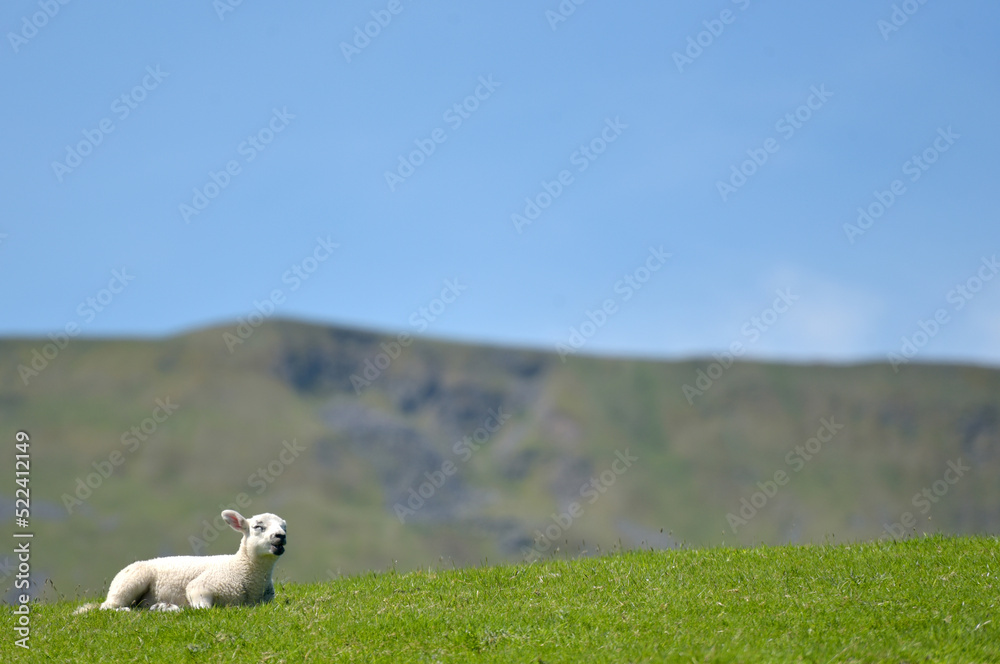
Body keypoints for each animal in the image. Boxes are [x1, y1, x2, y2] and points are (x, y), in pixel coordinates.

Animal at [74, 510, 287, 613]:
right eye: (258, 526)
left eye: (284, 526)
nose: (281, 536)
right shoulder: (200, 587)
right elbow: (202, 609)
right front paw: (173, 608)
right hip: (129, 583)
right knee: (109, 607)